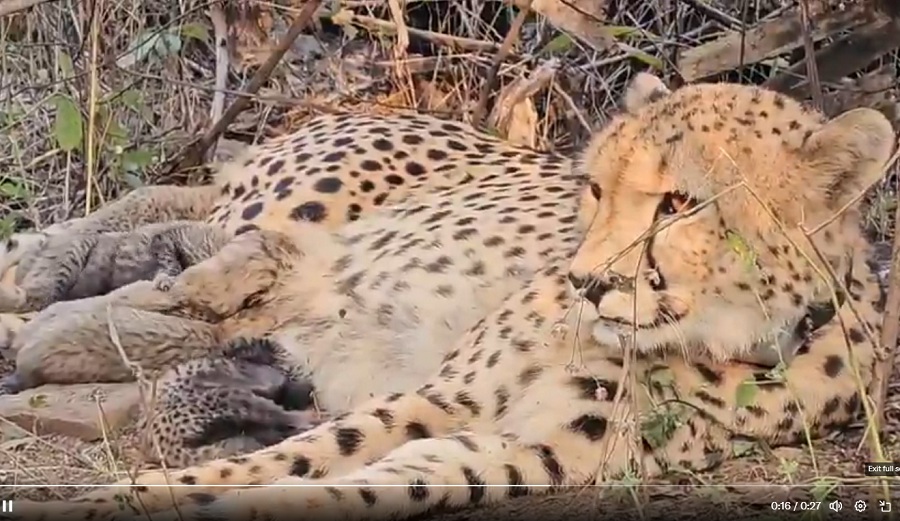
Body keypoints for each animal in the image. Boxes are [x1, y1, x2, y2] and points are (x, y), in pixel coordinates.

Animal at [5, 72, 894, 521]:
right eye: (596, 189)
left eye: (682, 203)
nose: (587, 282)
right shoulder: (443, 395)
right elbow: (297, 454)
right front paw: (127, 496)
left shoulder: (521, 450)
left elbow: (356, 480)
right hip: (291, 208)